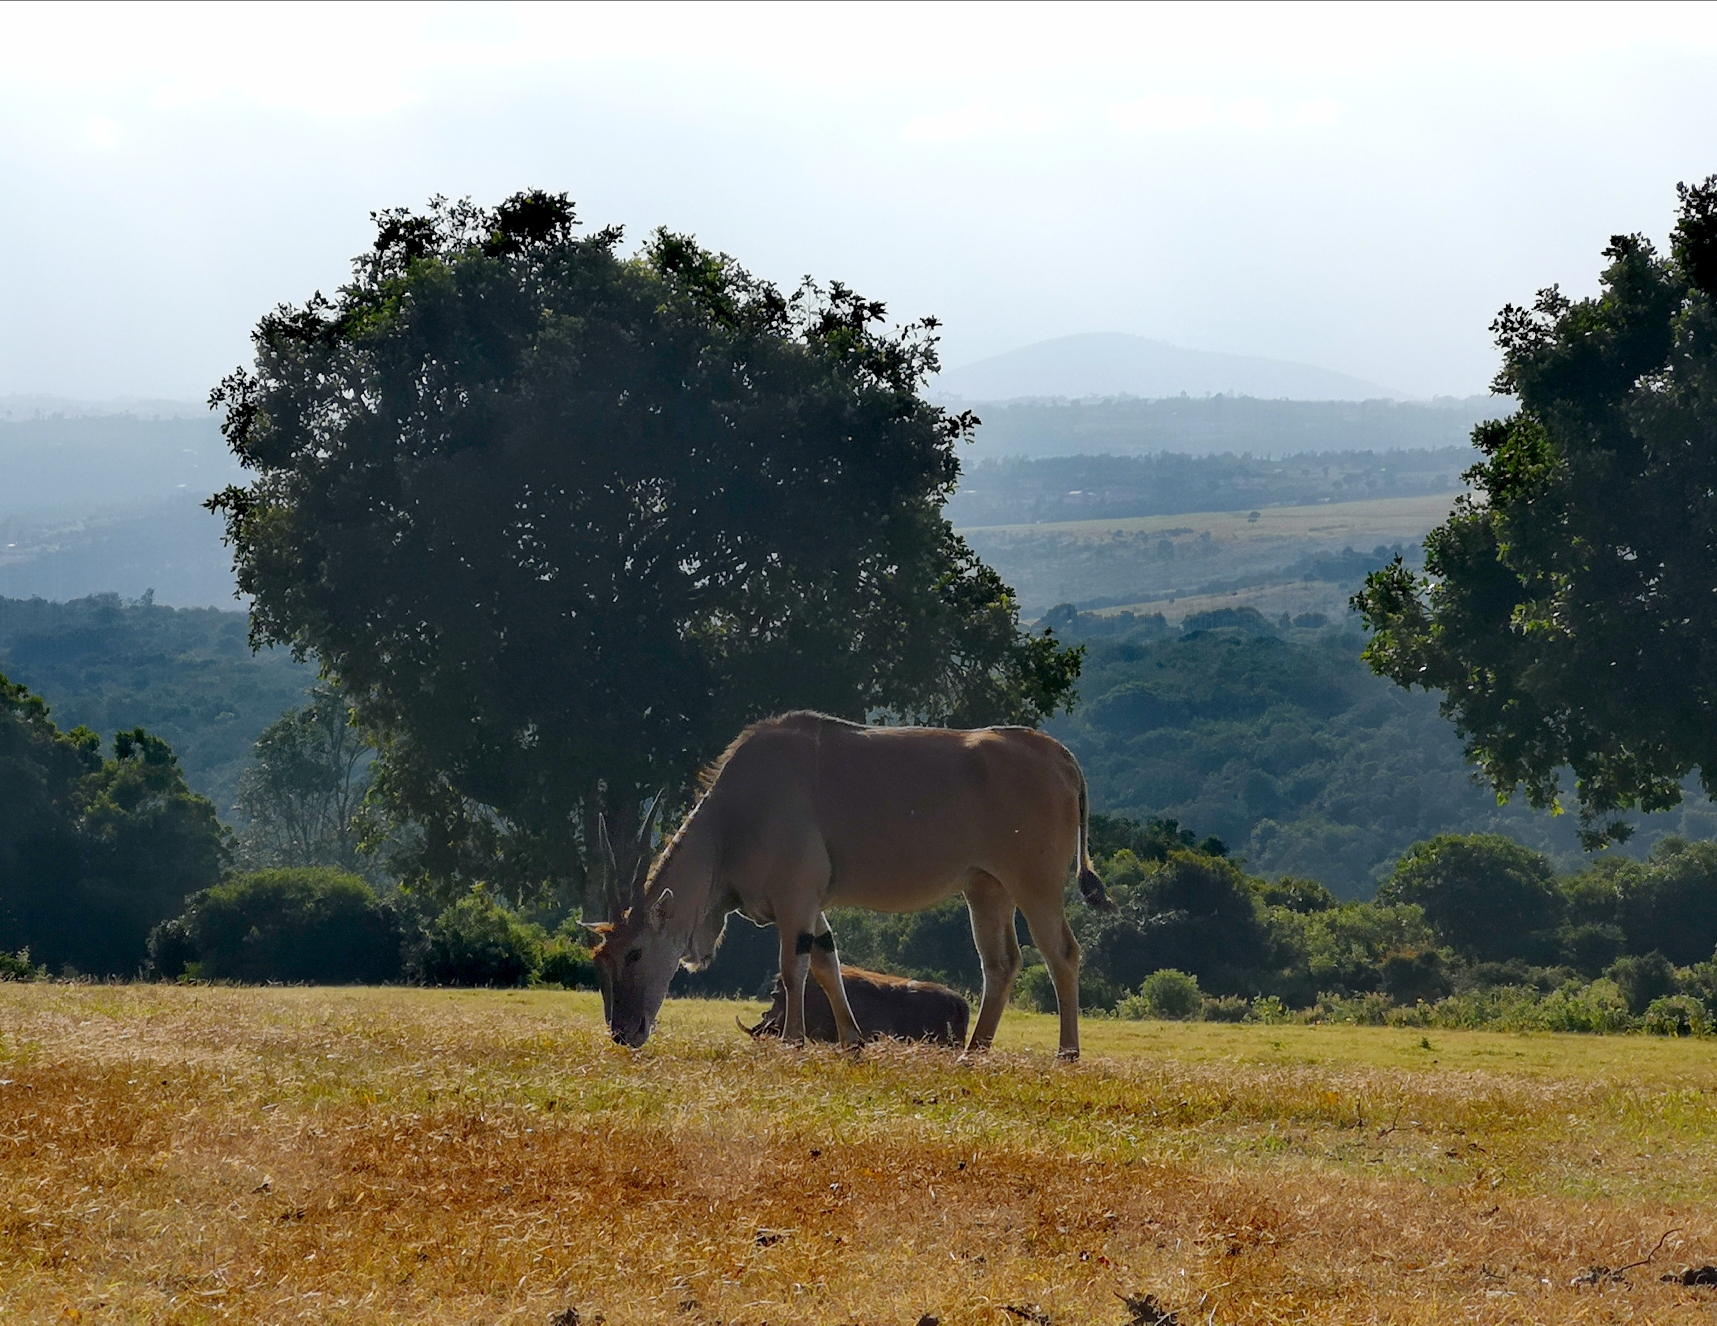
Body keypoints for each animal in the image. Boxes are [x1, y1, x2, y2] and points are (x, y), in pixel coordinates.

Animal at [590, 711, 1105, 1064]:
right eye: (602, 957)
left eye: (634, 953)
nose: (623, 1033)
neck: (735, 815)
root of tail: (1059, 756)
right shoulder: (812, 904)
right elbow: (826, 961)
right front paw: (852, 1043)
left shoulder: (796, 897)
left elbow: (794, 968)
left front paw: (793, 1041)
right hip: (986, 889)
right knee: (1001, 964)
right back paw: (972, 1053)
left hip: (1035, 886)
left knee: (1061, 953)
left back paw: (1067, 1054)